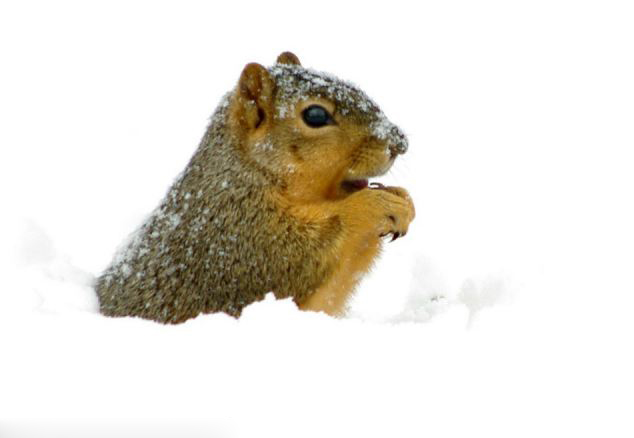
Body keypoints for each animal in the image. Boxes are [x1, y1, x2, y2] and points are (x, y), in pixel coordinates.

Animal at [95, 53, 414, 324]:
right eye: (315, 115)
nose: (400, 143)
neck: (249, 173)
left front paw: (404, 201)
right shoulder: (239, 238)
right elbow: (300, 255)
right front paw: (372, 206)